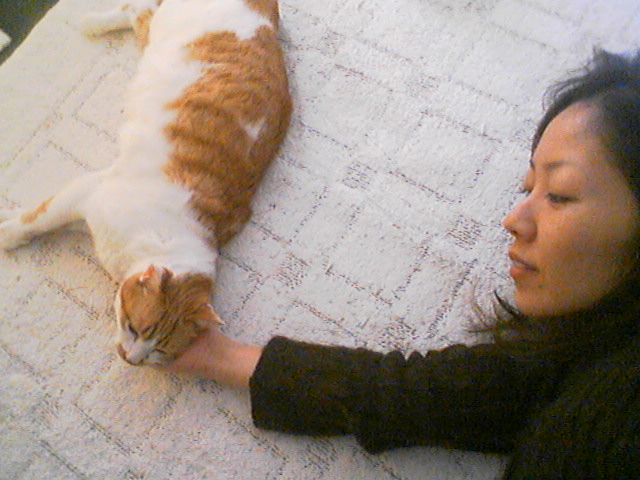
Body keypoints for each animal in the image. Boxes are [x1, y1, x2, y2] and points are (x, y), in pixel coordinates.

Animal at [0, 0, 291, 365]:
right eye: (136, 328)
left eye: (161, 349)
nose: (134, 360)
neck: (161, 238)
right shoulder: (88, 193)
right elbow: (37, 219)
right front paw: (8, 234)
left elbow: (42, 216)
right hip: (157, 26)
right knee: (134, 8)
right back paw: (91, 23)